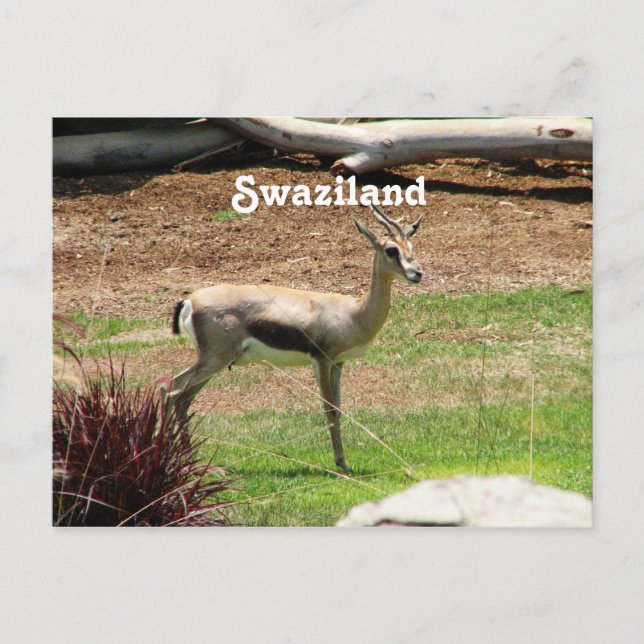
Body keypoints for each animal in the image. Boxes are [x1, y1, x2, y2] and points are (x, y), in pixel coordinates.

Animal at [167, 204, 424, 473]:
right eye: (391, 250)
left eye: (411, 246)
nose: (418, 273)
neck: (354, 312)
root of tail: (189, 300)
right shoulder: (321, 360)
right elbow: (329, 409)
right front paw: (342, 464)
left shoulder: (338, 363)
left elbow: (339, 408)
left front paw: (344, 462)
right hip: (214, 359)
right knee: (173, 389)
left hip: (215, 363)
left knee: (183, 399)